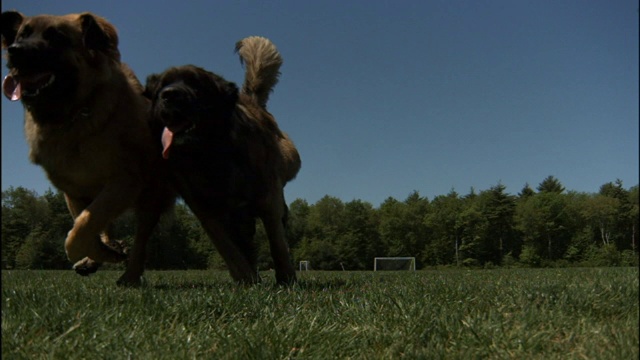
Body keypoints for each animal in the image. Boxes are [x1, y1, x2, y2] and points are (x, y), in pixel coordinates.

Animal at [0, 11, 175, 286]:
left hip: (150, 195)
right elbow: (85, 225)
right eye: (22, 35)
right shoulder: (74, 191)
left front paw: (109, 254)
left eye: (56, 37)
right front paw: (103, 253)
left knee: (140, 238)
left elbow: (78, 232)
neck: (71, 115)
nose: (14, 51)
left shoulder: (124, 182)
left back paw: (130, 274)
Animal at [146, 36, 302, 284]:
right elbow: (229, 249)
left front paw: (286, 279)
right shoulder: (207, 211)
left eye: (196, 84)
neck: (211, 154)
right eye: (161, 86)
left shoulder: (268, 196)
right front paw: (246, 277)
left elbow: (277, 242)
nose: (170, 95)